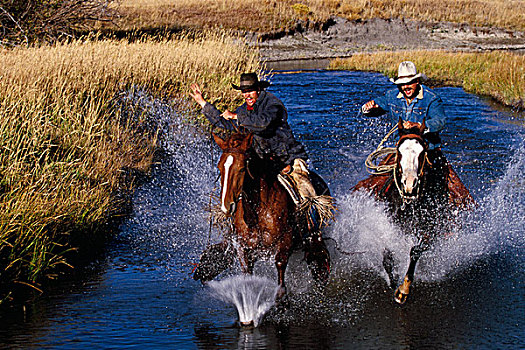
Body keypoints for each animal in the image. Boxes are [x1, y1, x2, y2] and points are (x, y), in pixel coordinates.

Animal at [192, 133, 330, 300]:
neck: (258, 212)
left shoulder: (285, 243)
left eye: (242, 168)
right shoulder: (243, 249)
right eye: (219, 167)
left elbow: (280, 272)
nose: (227, 206)